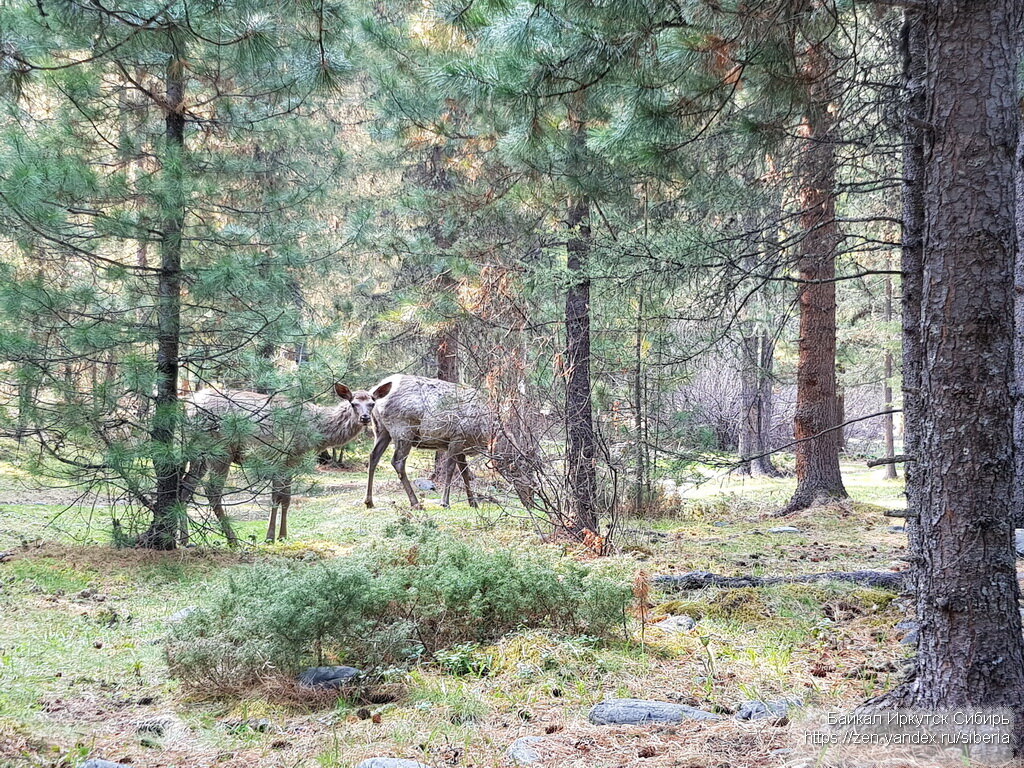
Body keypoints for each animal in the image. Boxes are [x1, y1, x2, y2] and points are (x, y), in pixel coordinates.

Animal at [184, 382, 380, 540]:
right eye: (353, 403)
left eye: (372, 403)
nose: (365, 417)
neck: (316, 429)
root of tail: (190, 409)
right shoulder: (282, 457)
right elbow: (276, 497)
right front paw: (270, 536)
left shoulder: (292, 461)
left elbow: (287, 498)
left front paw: (283, 535)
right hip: (221, 449)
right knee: (212, 491)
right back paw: (232, 540)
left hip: (198, 453)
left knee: (186, 486)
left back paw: (185, 540)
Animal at [362, 372, 536, 512]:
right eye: (522, 473)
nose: (531, 502)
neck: (485, 433)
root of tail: (374, 396)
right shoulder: (456, 439)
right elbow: (451, 470)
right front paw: (445, 502)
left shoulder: (462, 445)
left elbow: (465, 472)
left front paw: (473, 502)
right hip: (403, 430)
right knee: (397, 462)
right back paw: (415, 502)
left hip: (381, 430)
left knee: (373, 456)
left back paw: (369, 501)